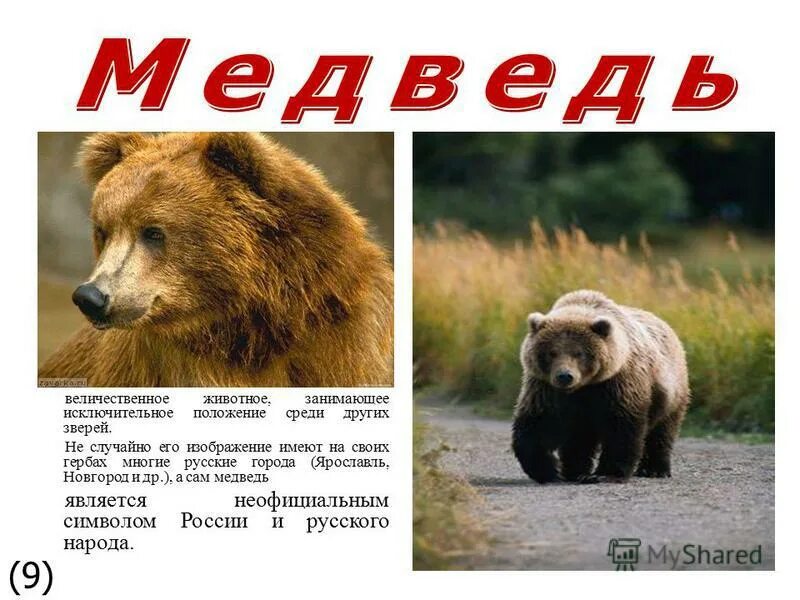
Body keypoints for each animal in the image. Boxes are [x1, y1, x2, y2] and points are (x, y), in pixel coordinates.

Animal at [511, 290, 689, 483]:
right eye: (551, 352)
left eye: (579, 353)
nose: (565, 376)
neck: (584, 387)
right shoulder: (546, 388)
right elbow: (538, 424)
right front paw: (549, 470)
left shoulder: (618, 383)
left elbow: (620, 427)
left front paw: (608, 473)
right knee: (579, 438)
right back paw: (576, 472)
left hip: (670, 389)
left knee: (662, 429)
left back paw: (655, 469)